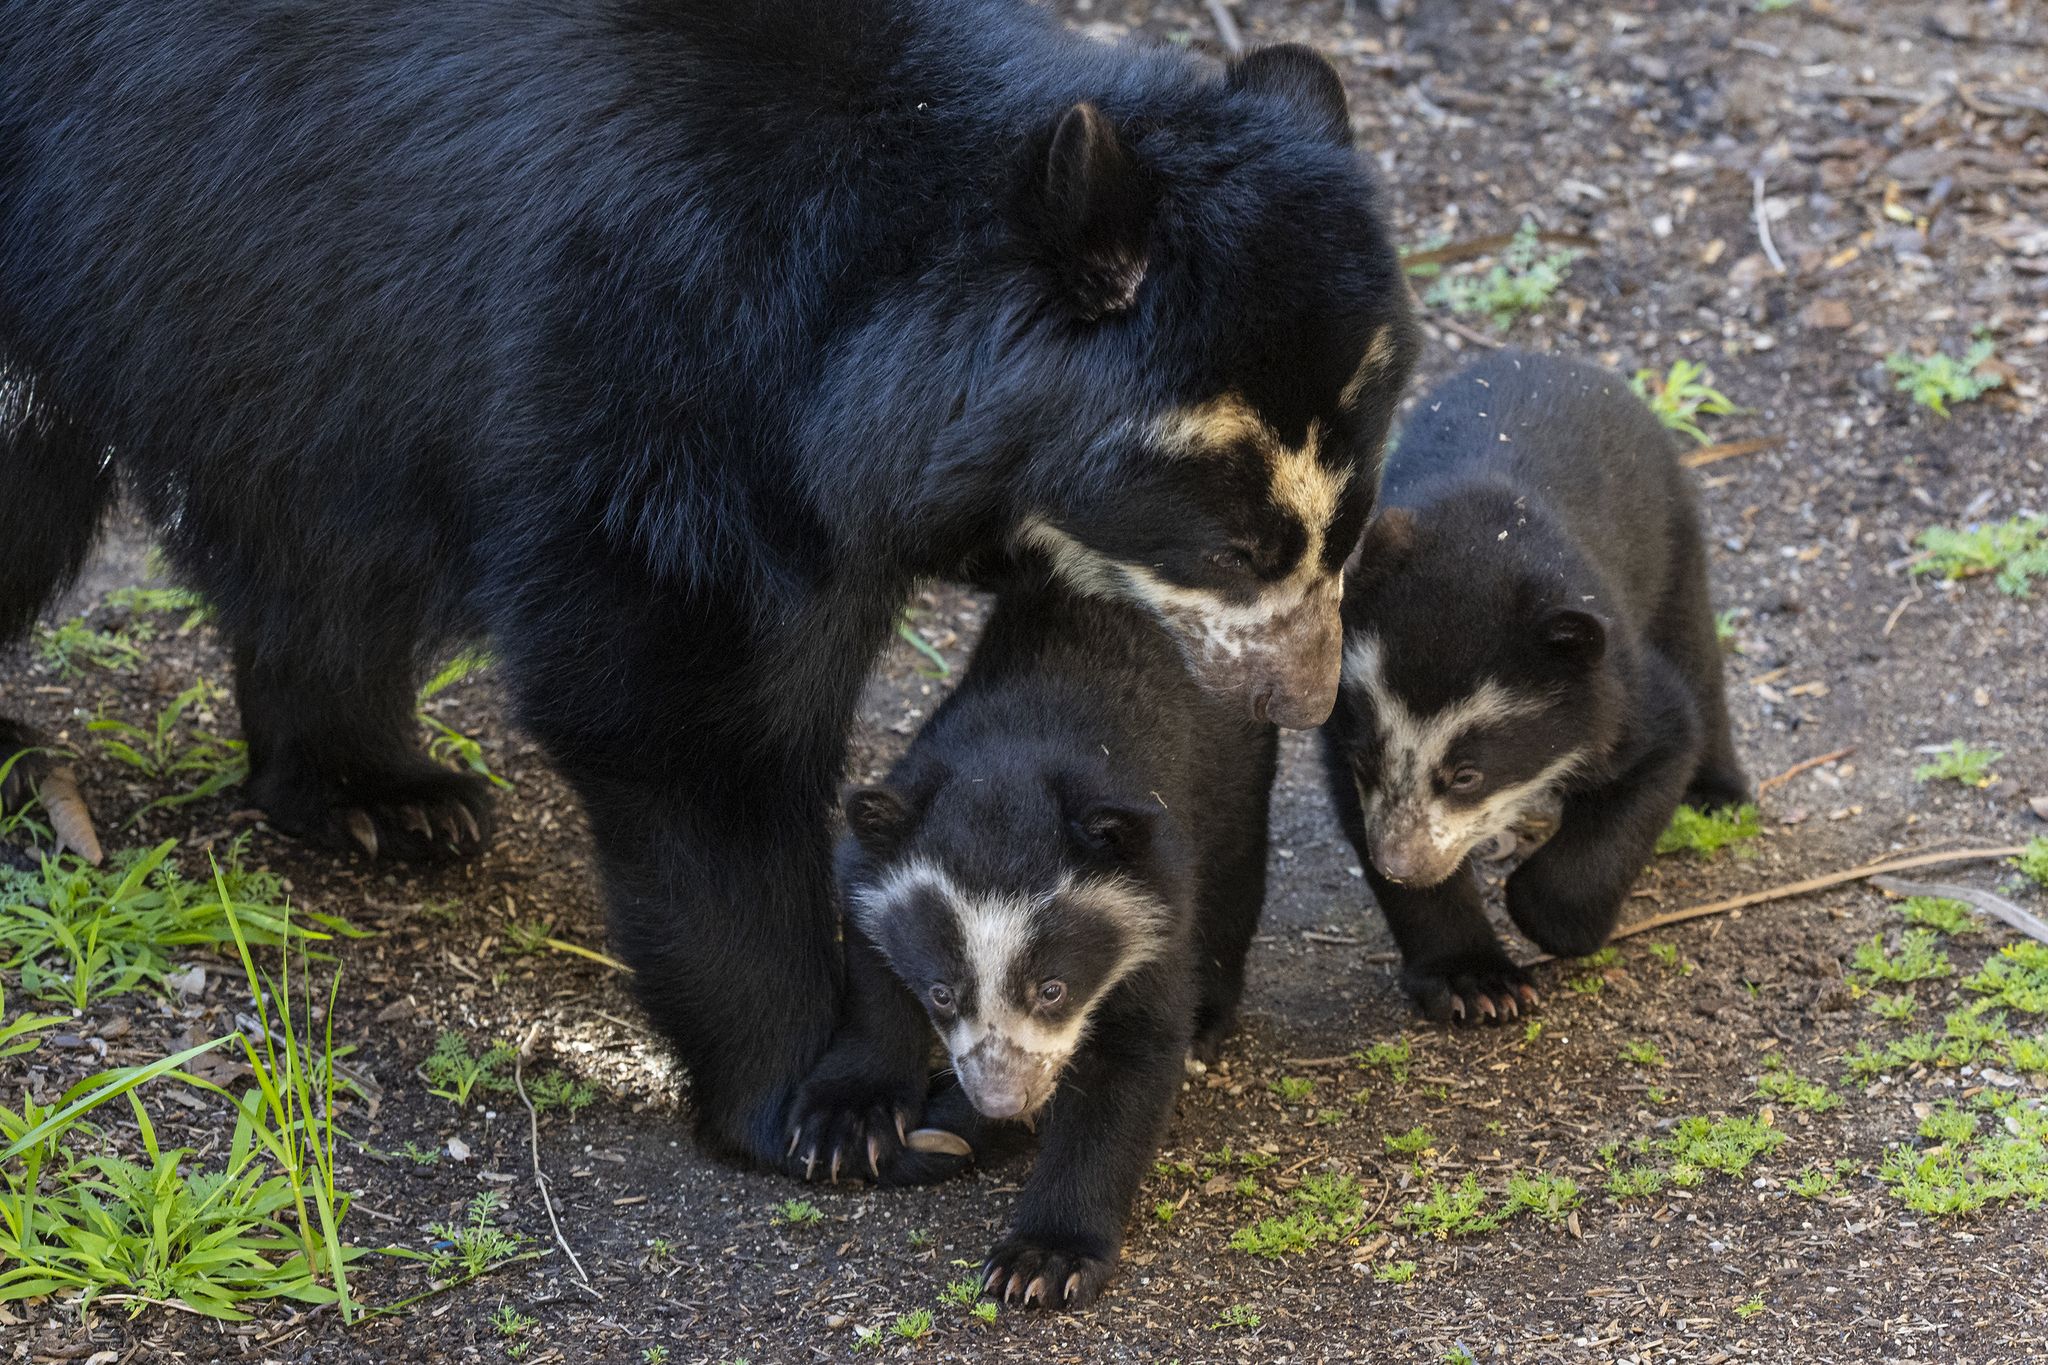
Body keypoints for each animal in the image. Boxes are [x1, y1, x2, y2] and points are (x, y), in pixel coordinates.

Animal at [0, 0, 1417, 1178]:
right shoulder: (660, 367)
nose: (1295, 697)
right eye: (1234, 546)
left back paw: (382, 799)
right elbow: (679, 702)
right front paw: (826, 1108)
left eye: (1345, 526)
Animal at [1327, 351, 1744, 1023]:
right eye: (1369, 756)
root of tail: (1550, 358)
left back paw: (1719, 794)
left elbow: (1664, 743)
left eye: (1467, 775)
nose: (1402, 864)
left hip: (1672, 524)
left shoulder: (1614, 682)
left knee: (1695, 645)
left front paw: (1546, 918)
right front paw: (1477, 983)